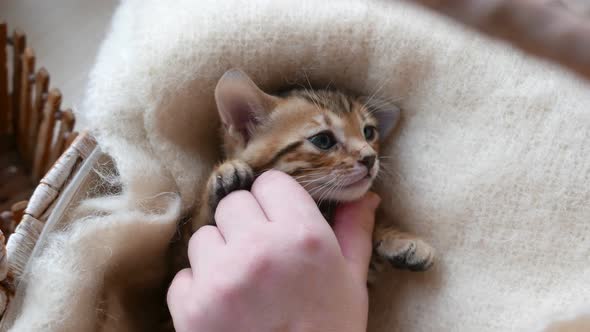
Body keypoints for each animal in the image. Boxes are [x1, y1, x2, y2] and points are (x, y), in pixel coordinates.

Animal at [194, 68, 434, 276]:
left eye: (368, 132)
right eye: (323, 140)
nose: (370, 158)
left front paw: (399, 239)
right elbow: (196, 229)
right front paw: (223, 177)